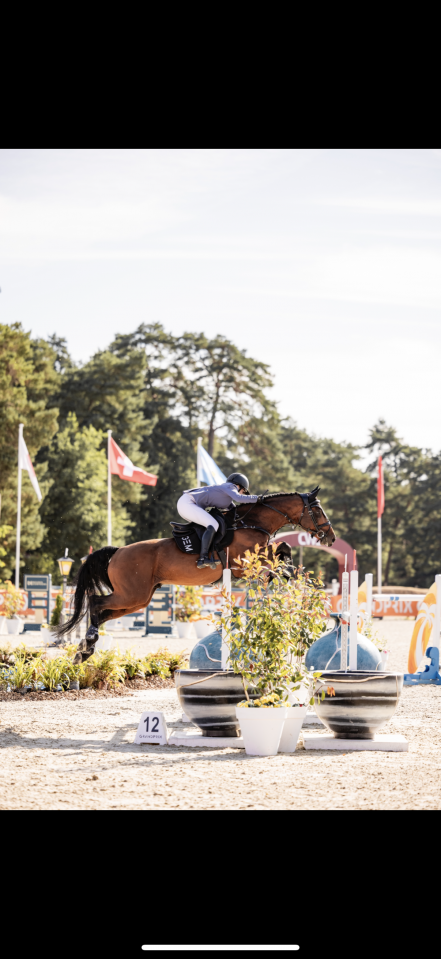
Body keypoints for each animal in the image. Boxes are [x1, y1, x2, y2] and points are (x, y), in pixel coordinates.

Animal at [57, 487, 335, 662]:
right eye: (318, 511)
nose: (330, 538)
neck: (252, 523)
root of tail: (118, 552)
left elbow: (282, 550)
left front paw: (287, 574)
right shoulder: (242, 565)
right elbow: (278, 556)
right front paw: (286, 574)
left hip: (138, 599)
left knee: (103, 612)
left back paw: (85, 649)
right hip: (131, 594)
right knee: (96, 602)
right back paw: (88, 642)